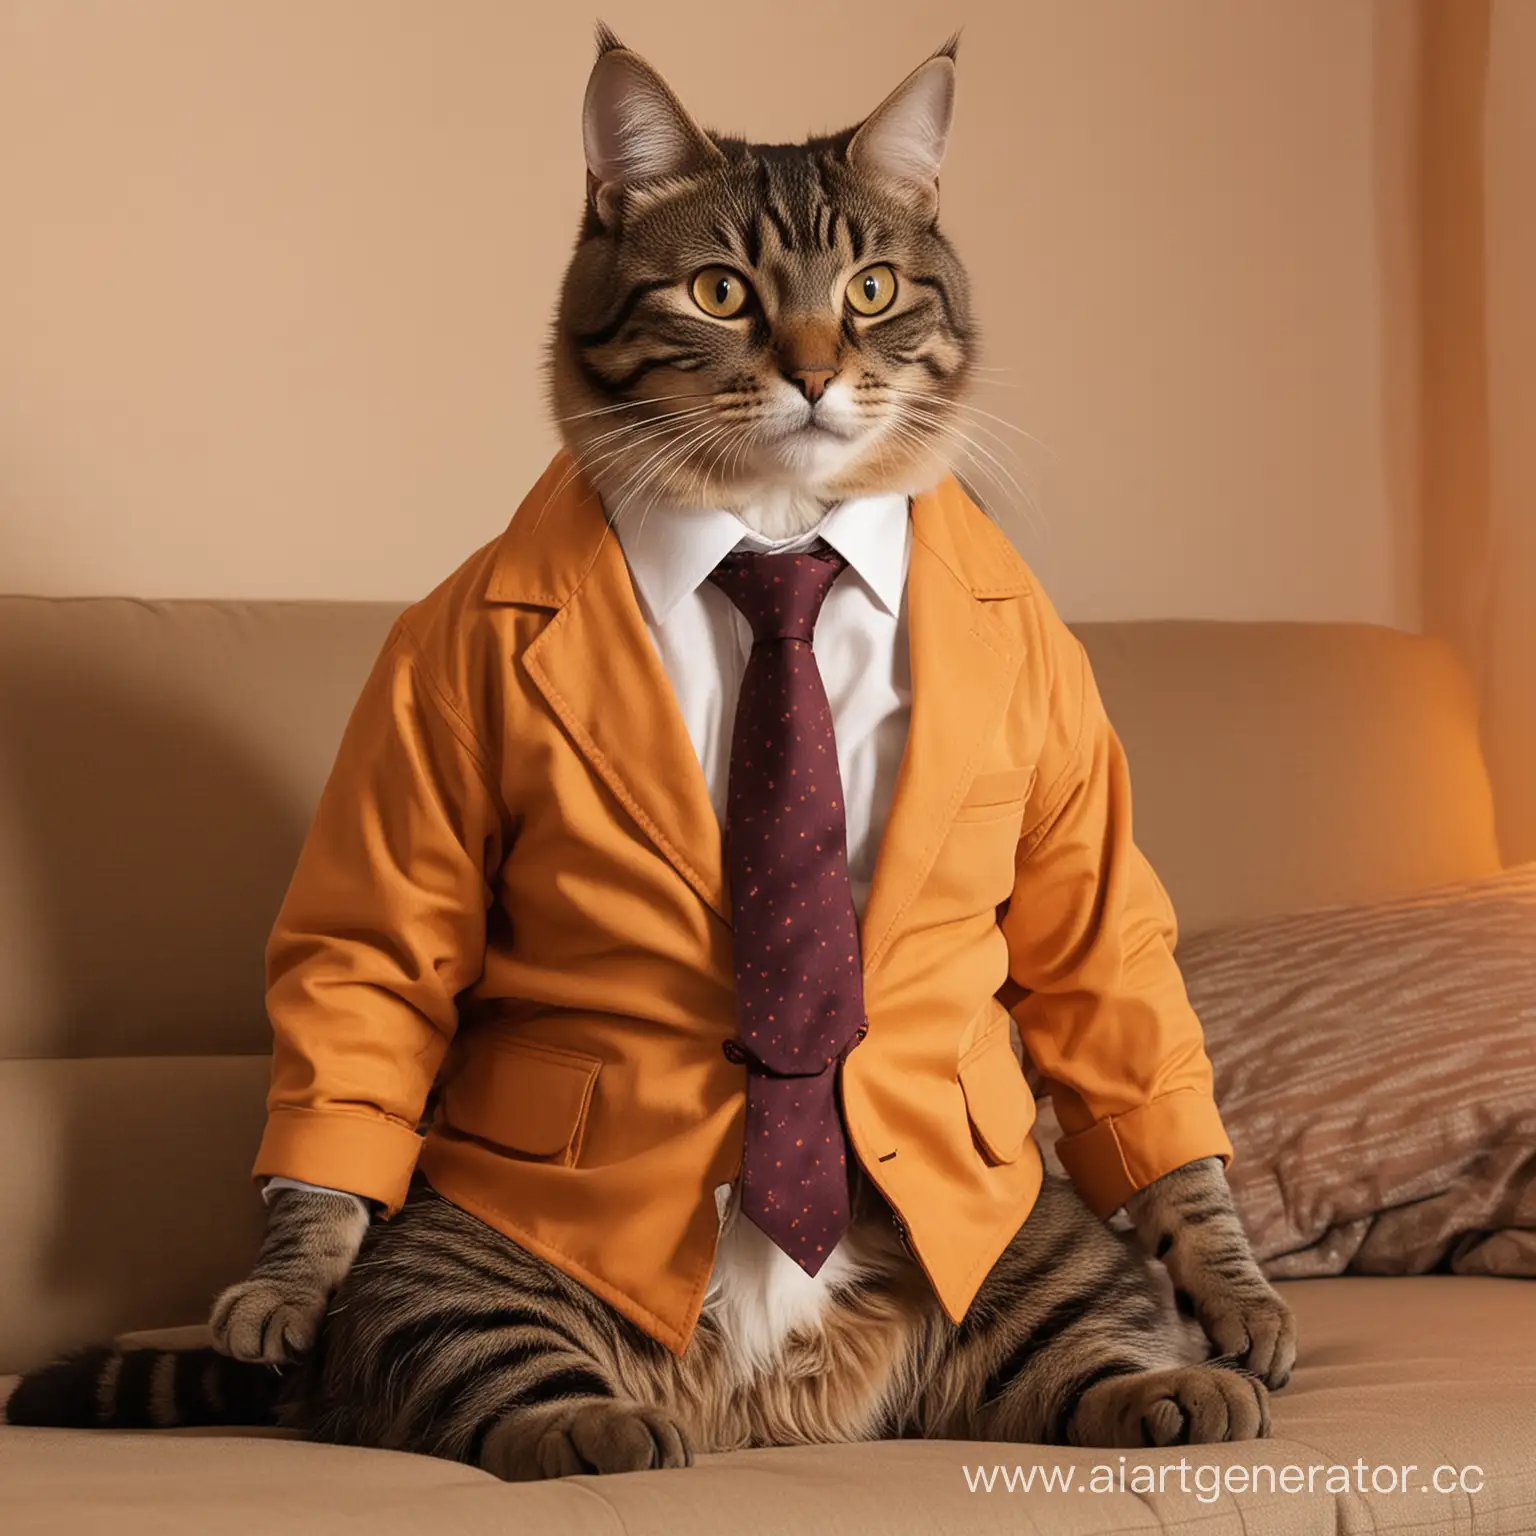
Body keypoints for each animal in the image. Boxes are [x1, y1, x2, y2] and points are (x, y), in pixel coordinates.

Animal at [6, 29, 1296, 1474]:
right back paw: (597, 1429)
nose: (813, 370)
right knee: (480, 1375)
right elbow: (371, 978)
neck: (778, 533)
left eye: (872, 288)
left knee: (1084, 1348)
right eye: (722, 292)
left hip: (1039, 1247)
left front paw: (1230, 1283)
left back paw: (1173, 1387)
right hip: (463, 1266)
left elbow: (1115, 988)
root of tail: (760, 1407)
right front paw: (292, 1269)